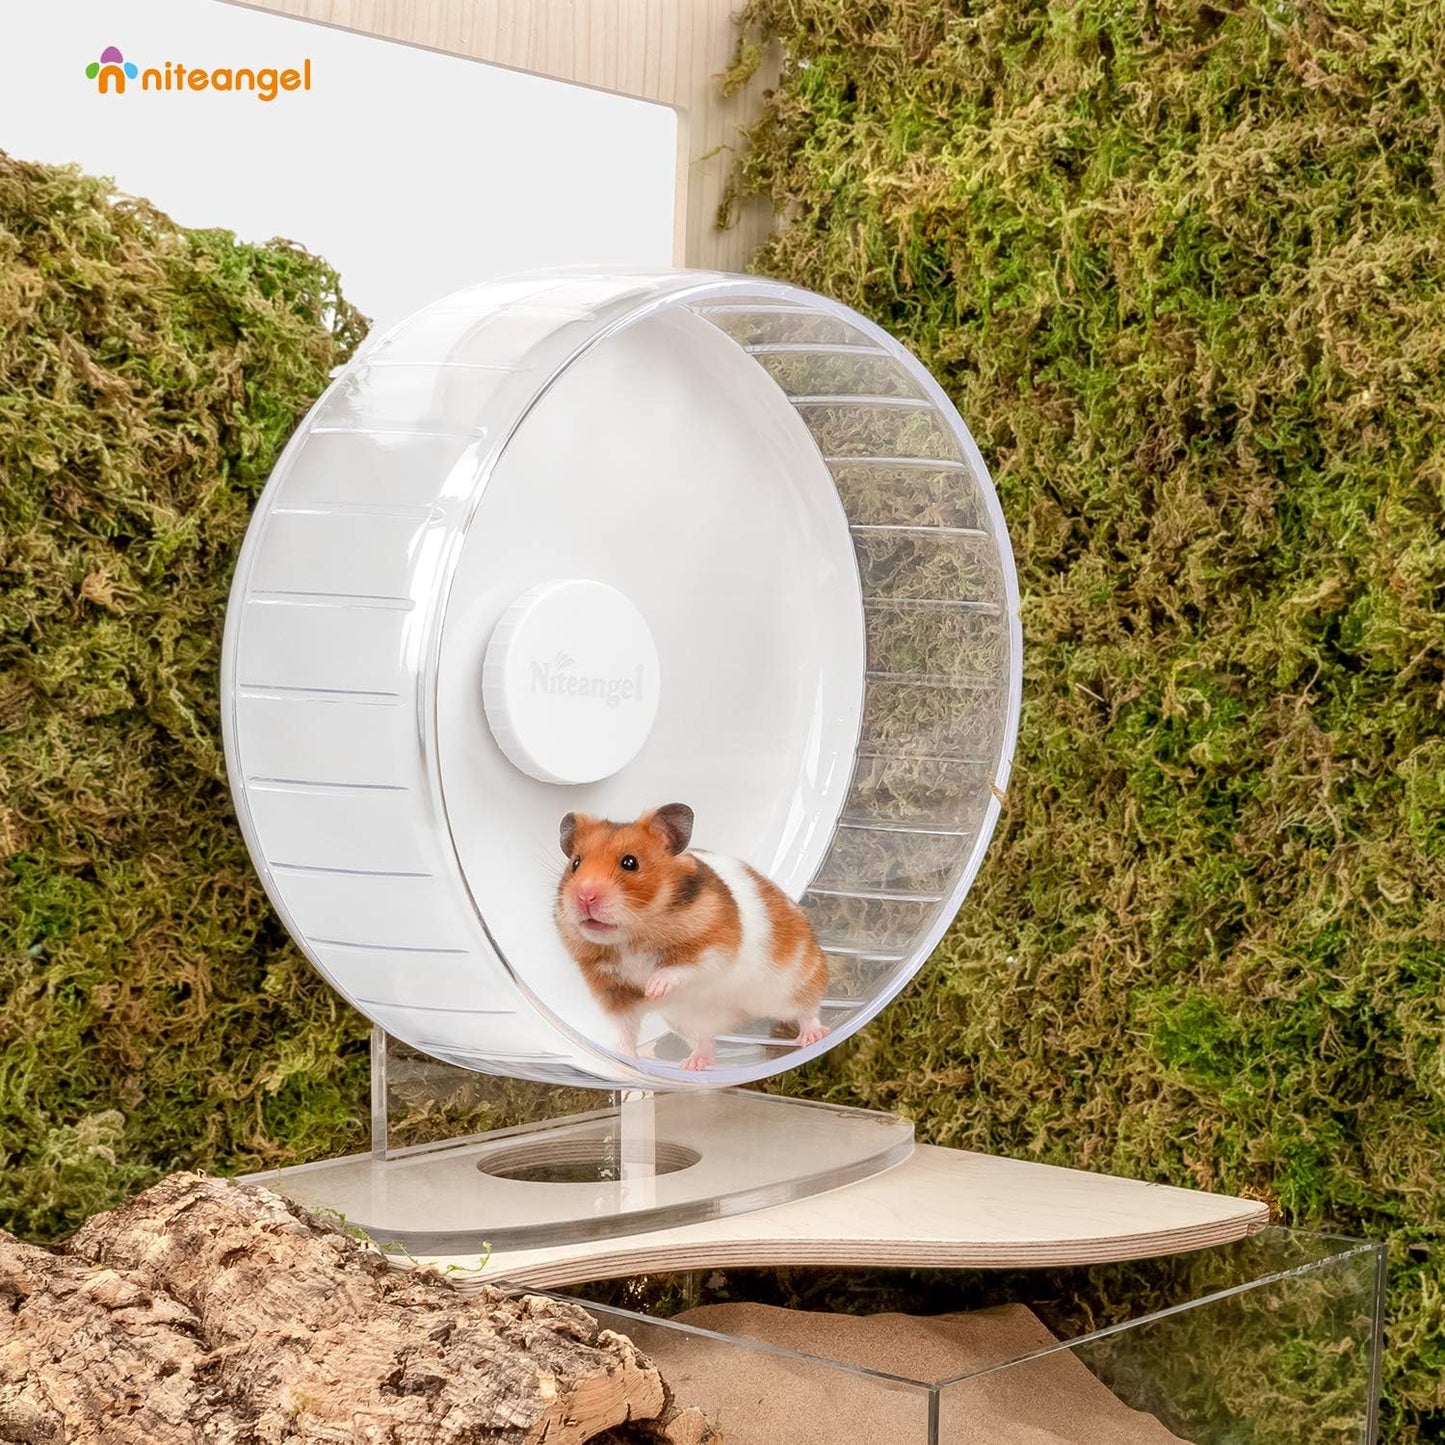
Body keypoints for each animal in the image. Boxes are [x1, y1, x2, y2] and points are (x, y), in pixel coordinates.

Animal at [554, 803, 830, 1072]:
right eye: (576, 863)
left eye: (630, 863)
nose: (584, 897)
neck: (631, 937)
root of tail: (743, 1016)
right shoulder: (611, 992)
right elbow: (623, 1030)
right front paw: (626, 1061)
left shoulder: (717, 947)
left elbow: (681, 968)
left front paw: (654, 989)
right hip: (685, 1022)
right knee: (706, 1041)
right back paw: (692, 1064)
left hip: (800, 981)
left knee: (808, 1011)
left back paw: (813, 1037)